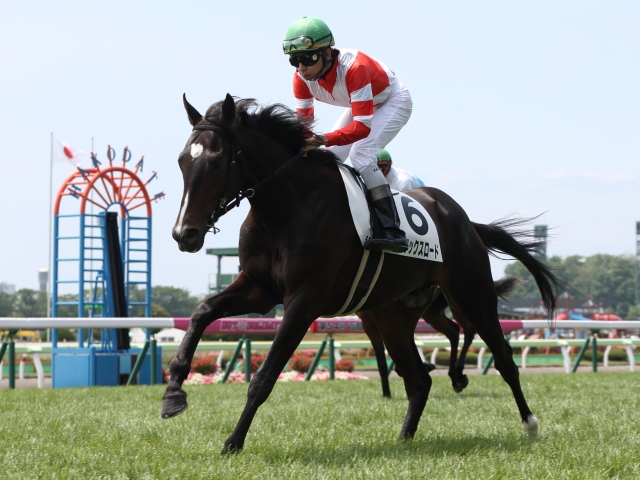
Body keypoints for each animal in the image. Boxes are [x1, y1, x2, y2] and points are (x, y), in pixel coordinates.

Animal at [163, 94, 560, 453]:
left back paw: (529, 423)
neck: (288, 207)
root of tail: (463, 219)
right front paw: (173, 393)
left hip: (472, 295)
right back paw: (404, 438)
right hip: (394, 316)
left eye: (217, 162)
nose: (185, 234)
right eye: (182, 161)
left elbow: (264, 376)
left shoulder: (304, 301)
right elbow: (201, 314)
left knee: (502, 358)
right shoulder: (259, 290)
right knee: (418, 380)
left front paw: (233, 442)